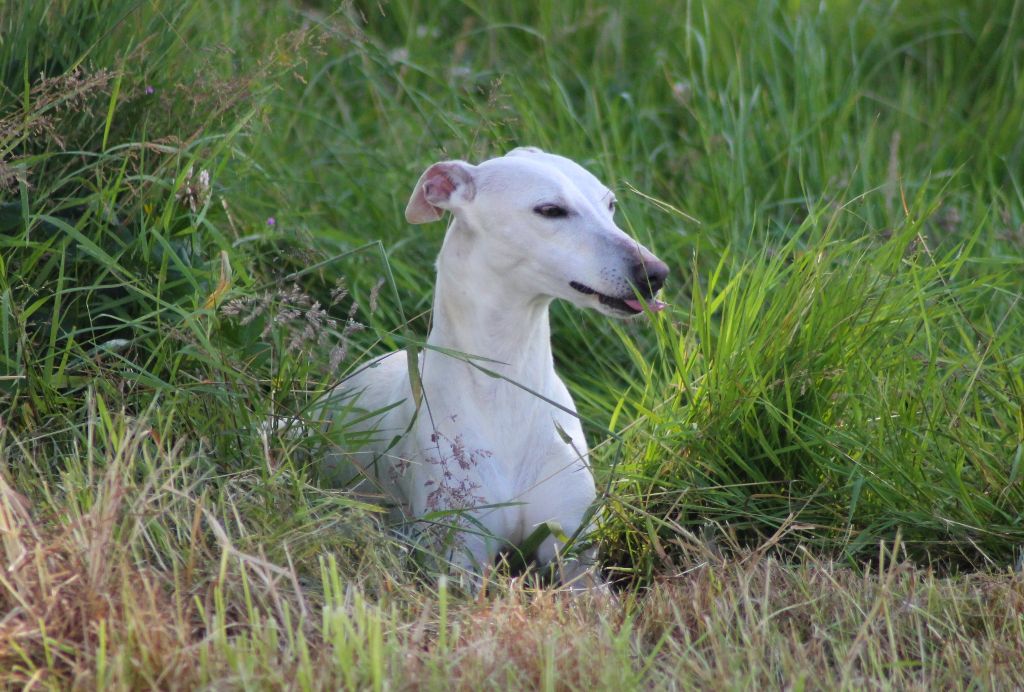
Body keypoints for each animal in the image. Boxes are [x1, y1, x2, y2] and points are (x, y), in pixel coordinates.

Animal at [319, 147, 671, 589]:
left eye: (610, 205)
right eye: (550, 210)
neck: (509, 387)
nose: (655, 273)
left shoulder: (577, 556)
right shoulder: (459, 559)